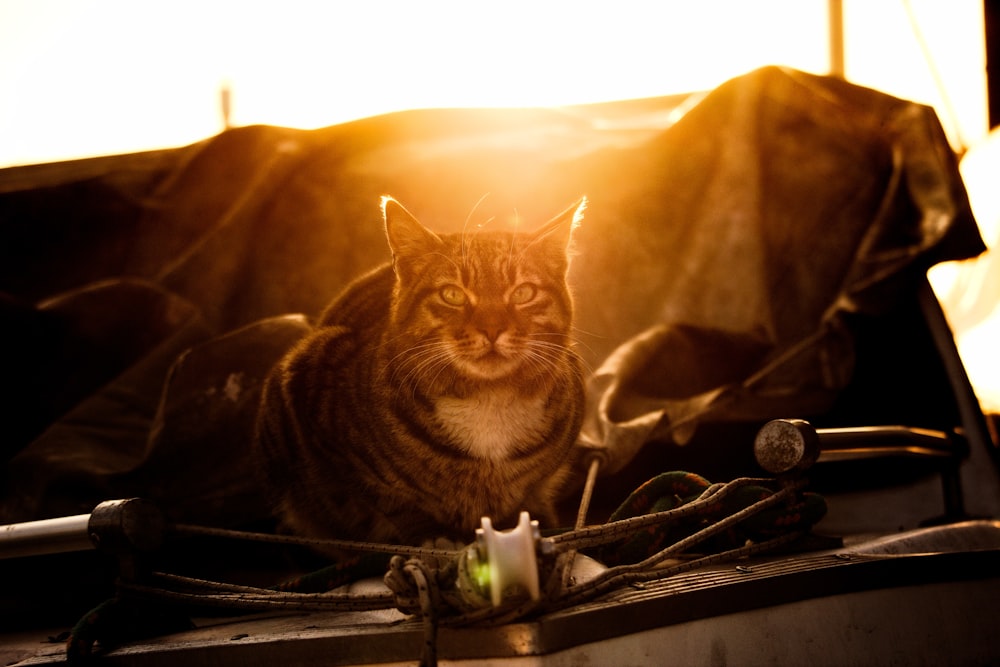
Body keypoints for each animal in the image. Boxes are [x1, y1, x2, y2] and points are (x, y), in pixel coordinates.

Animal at [254, 197, 588, 548]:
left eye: (524, 292)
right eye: (452, 294)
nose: (492, 329)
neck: (488, 402)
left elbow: (527, 496)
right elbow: (393, 502)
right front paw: (434, 535)